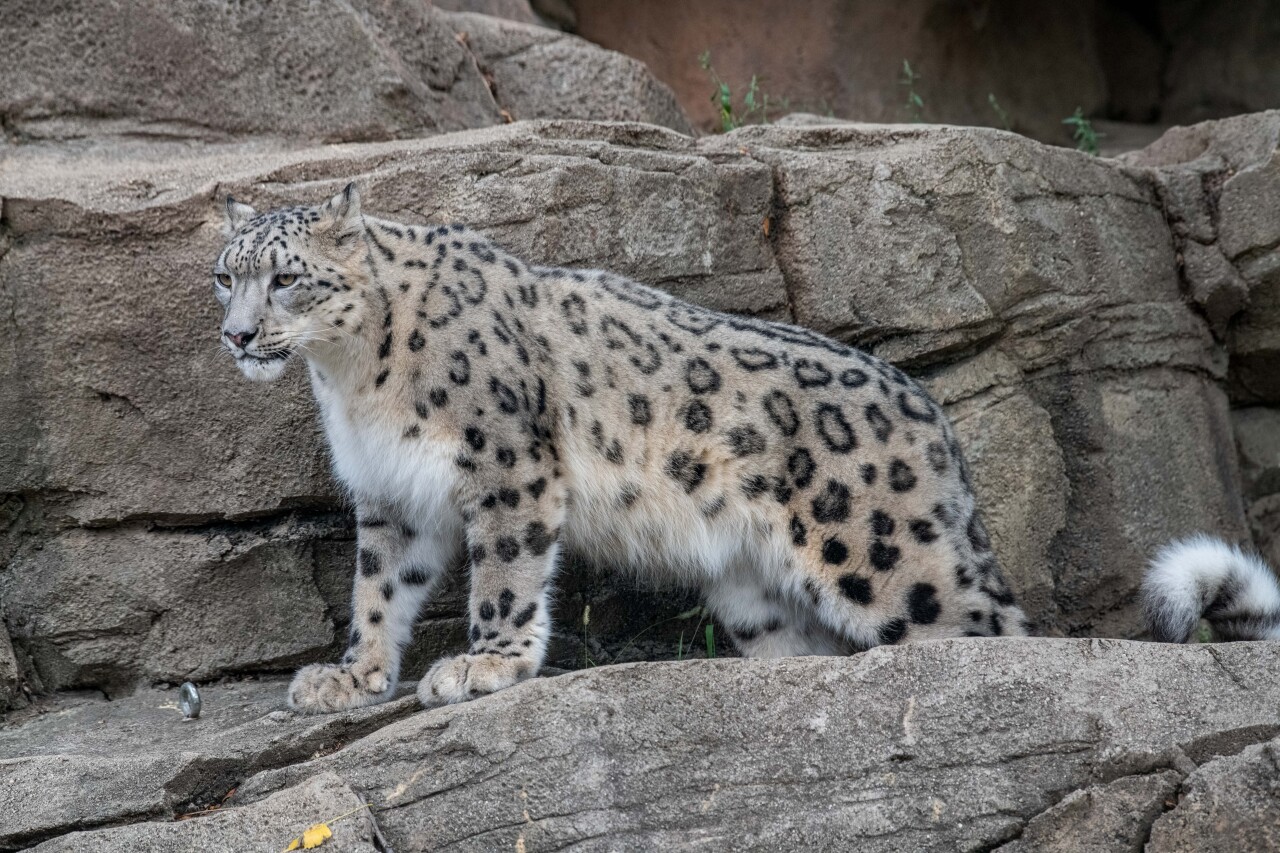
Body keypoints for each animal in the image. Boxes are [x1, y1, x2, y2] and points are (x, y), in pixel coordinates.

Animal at [212, 185, 1280, 713]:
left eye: (289, 278)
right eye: (226, 275)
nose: (237, 335)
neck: (352, 379)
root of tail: (930, 413)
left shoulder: (506, 464)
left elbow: (505, 577)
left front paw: (485, 665)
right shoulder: (393, 496)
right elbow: (379, 587)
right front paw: (353, 674)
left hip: (885, 553)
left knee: (991, 632)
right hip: (755, 592)